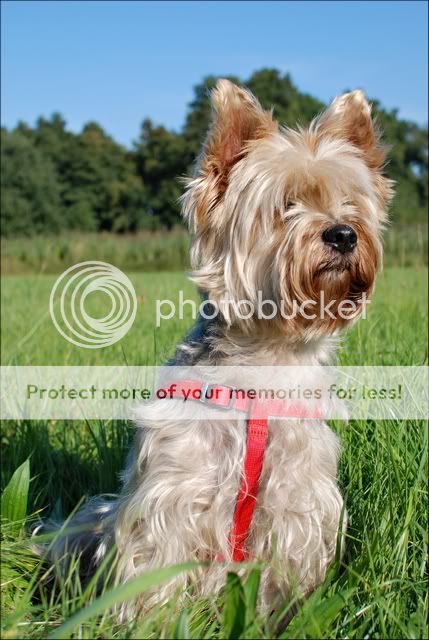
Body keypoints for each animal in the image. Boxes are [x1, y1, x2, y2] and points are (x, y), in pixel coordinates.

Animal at [42, 80, 393, 617]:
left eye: (352, 206)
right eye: (286, 206)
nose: (343, 234)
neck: (265, 362)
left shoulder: (297, 501)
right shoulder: (173, 491)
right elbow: (156, 572)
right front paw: (153, 622)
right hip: (90, 519)